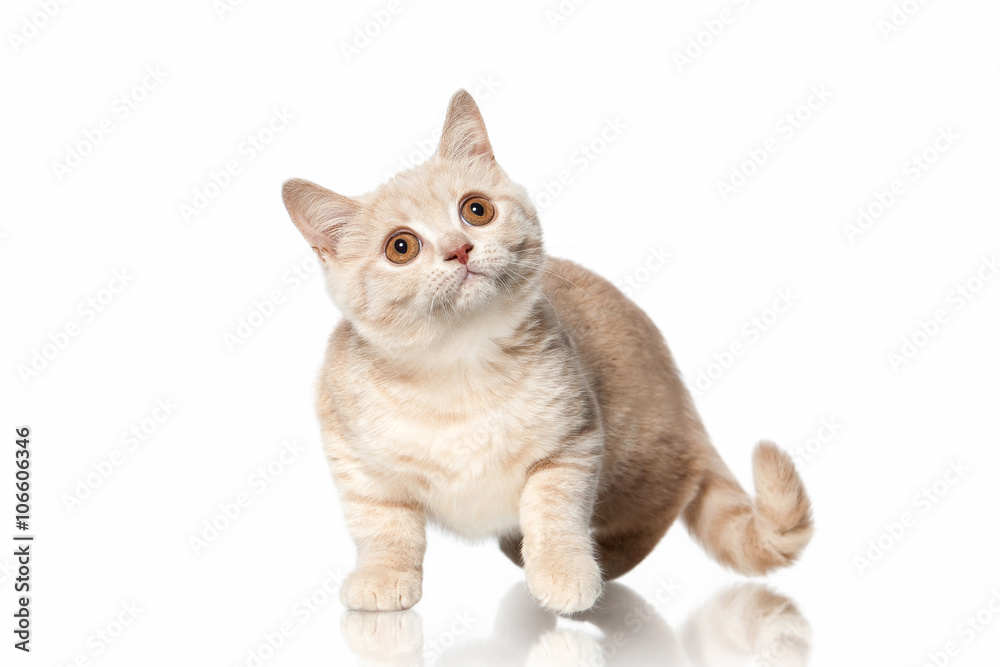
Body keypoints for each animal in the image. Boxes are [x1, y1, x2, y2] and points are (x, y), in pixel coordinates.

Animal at [280, 90, 812, 616]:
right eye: (401, 247)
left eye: (476, 210)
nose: (459, 249)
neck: (458, 370)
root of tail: (681, 398)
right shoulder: (356, 461)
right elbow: (382, 527)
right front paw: (383, 576)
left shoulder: (571, 443)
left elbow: (553, 513)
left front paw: (562, 572)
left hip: (640, 458)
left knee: (665, 501)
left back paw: (601, 561)